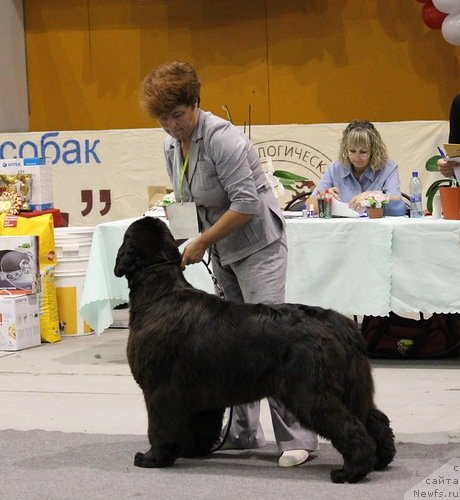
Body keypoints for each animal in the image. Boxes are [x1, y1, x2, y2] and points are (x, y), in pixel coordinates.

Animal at [114, 217, 396, 482]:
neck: (159, 291)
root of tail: (343, 327)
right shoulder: (199, 390)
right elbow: (200, 424)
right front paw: (192, 450)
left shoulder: (159, 388)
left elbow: (159, 427)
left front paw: (154, 457)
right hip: (351, 388)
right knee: (375, 420)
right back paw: (380, 461)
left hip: (311, 393)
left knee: (351, 427)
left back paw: (350, 472)